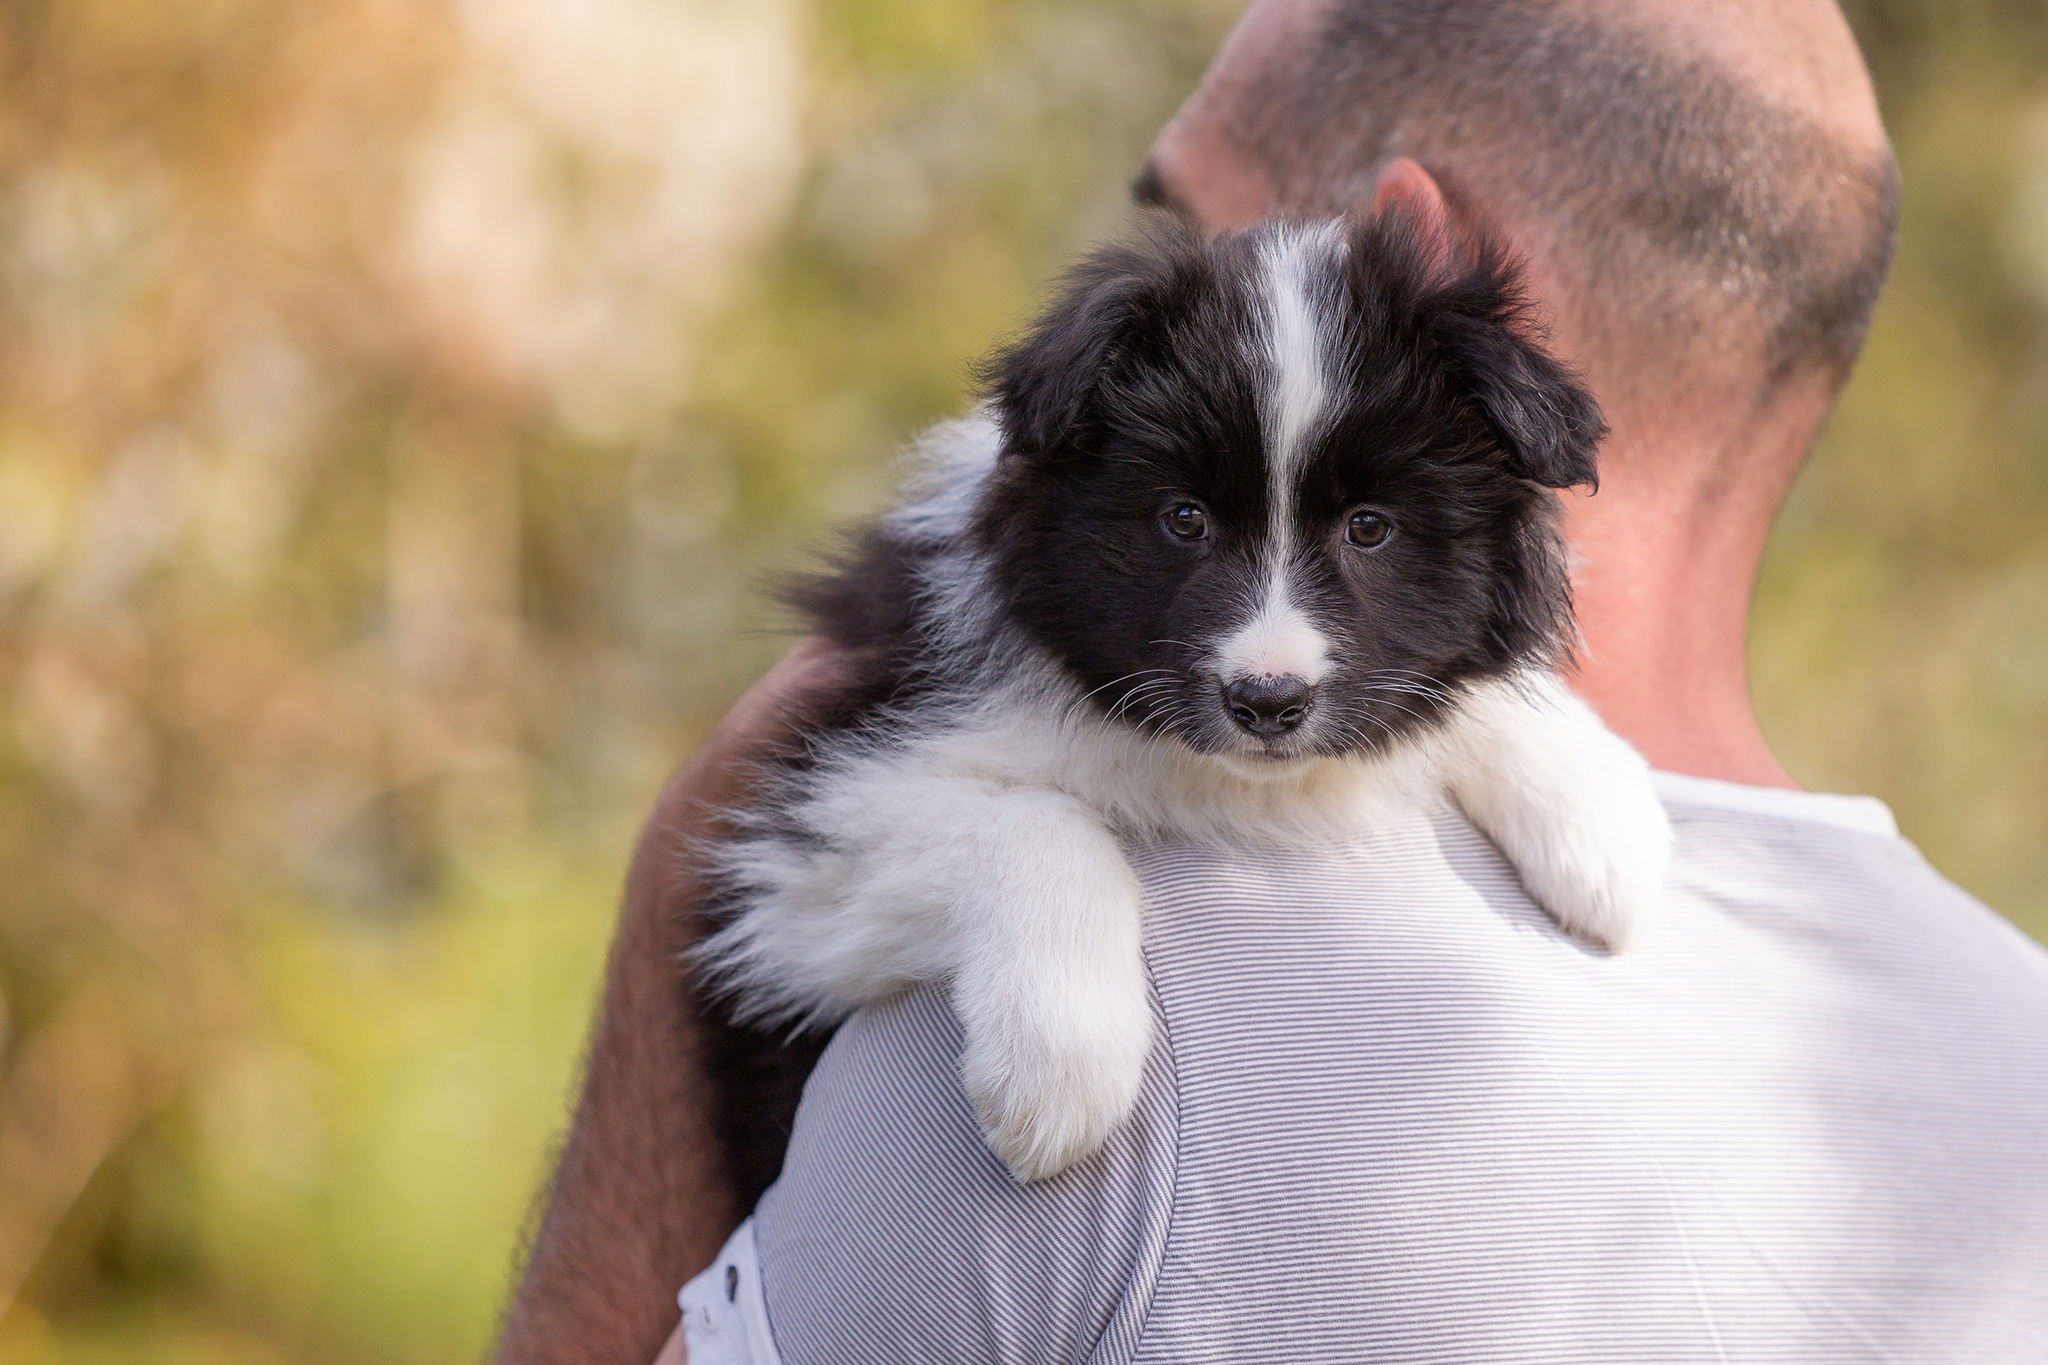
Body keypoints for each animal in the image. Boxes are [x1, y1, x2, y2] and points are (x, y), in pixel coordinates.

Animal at [700, 210, 1662, 1186]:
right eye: (1185, 518)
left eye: (1370, 527)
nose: (1268, 701)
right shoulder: (801, 846)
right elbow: (1039, 823)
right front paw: (1059, 1070)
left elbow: (1454, 697)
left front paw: (1610, 837)